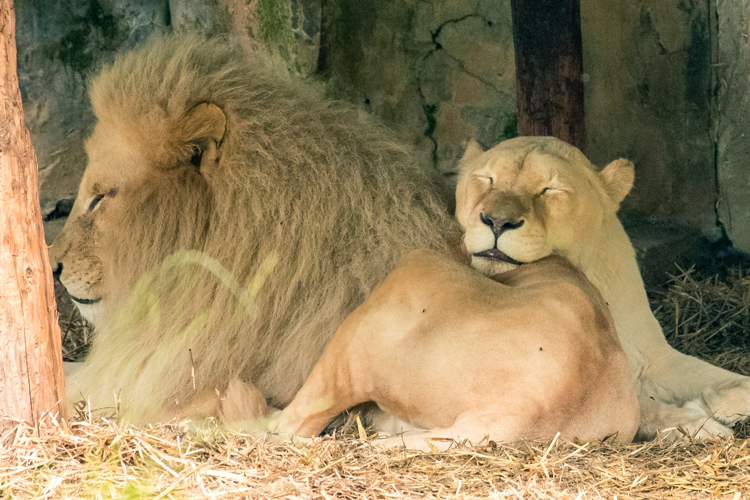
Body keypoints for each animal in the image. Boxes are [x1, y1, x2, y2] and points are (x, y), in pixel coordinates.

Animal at [458, 135, 750, 440]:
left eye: (550, 189)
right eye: (487, 179)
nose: (497, 222)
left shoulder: (653, 359)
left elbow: (742, 383)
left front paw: (711, 404)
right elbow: (640, 406)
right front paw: (701, 422)